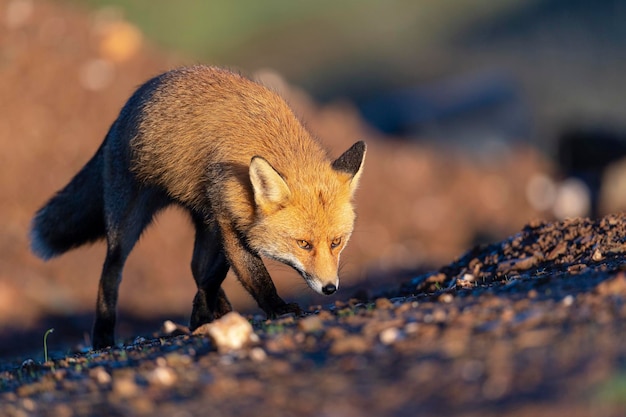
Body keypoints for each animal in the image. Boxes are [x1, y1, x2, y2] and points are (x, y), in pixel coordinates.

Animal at [30, 65, 366, 348]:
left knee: (196, 267)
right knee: (110, 272)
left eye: (336, 242)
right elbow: (253, 273)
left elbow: (213, 274)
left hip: (201, 217)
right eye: (303, 244)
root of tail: (127, 107)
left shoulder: (223, 217)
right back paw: (103, 337)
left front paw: (202, 313)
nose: (330, 288)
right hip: (127, 221)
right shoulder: (228, 218)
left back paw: (221, 311)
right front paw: (277, 308)